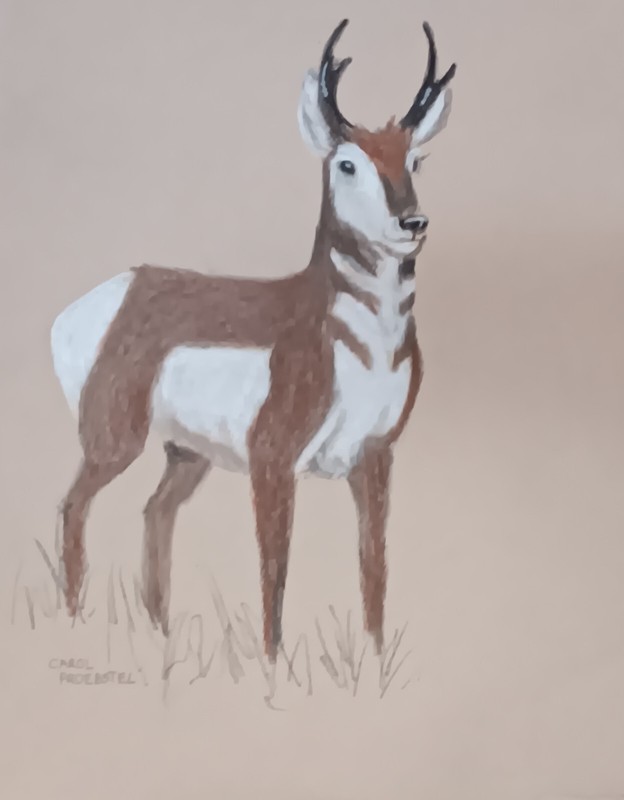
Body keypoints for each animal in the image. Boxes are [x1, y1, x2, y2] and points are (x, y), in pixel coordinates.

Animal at [50, 19, 456, 663]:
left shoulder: (376, 456)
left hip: (185, 454)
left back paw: (161, 634)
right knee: (74, 506)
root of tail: (119, 288)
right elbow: (275, 570)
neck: (359, 347)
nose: (411, 223)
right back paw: (75, 625)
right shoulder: (272, 461)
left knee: (154, 511)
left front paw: (372, 661)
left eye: (415, 158)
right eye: (347, 163)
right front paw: (272, 668)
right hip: (114, 439)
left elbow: (374, 567)